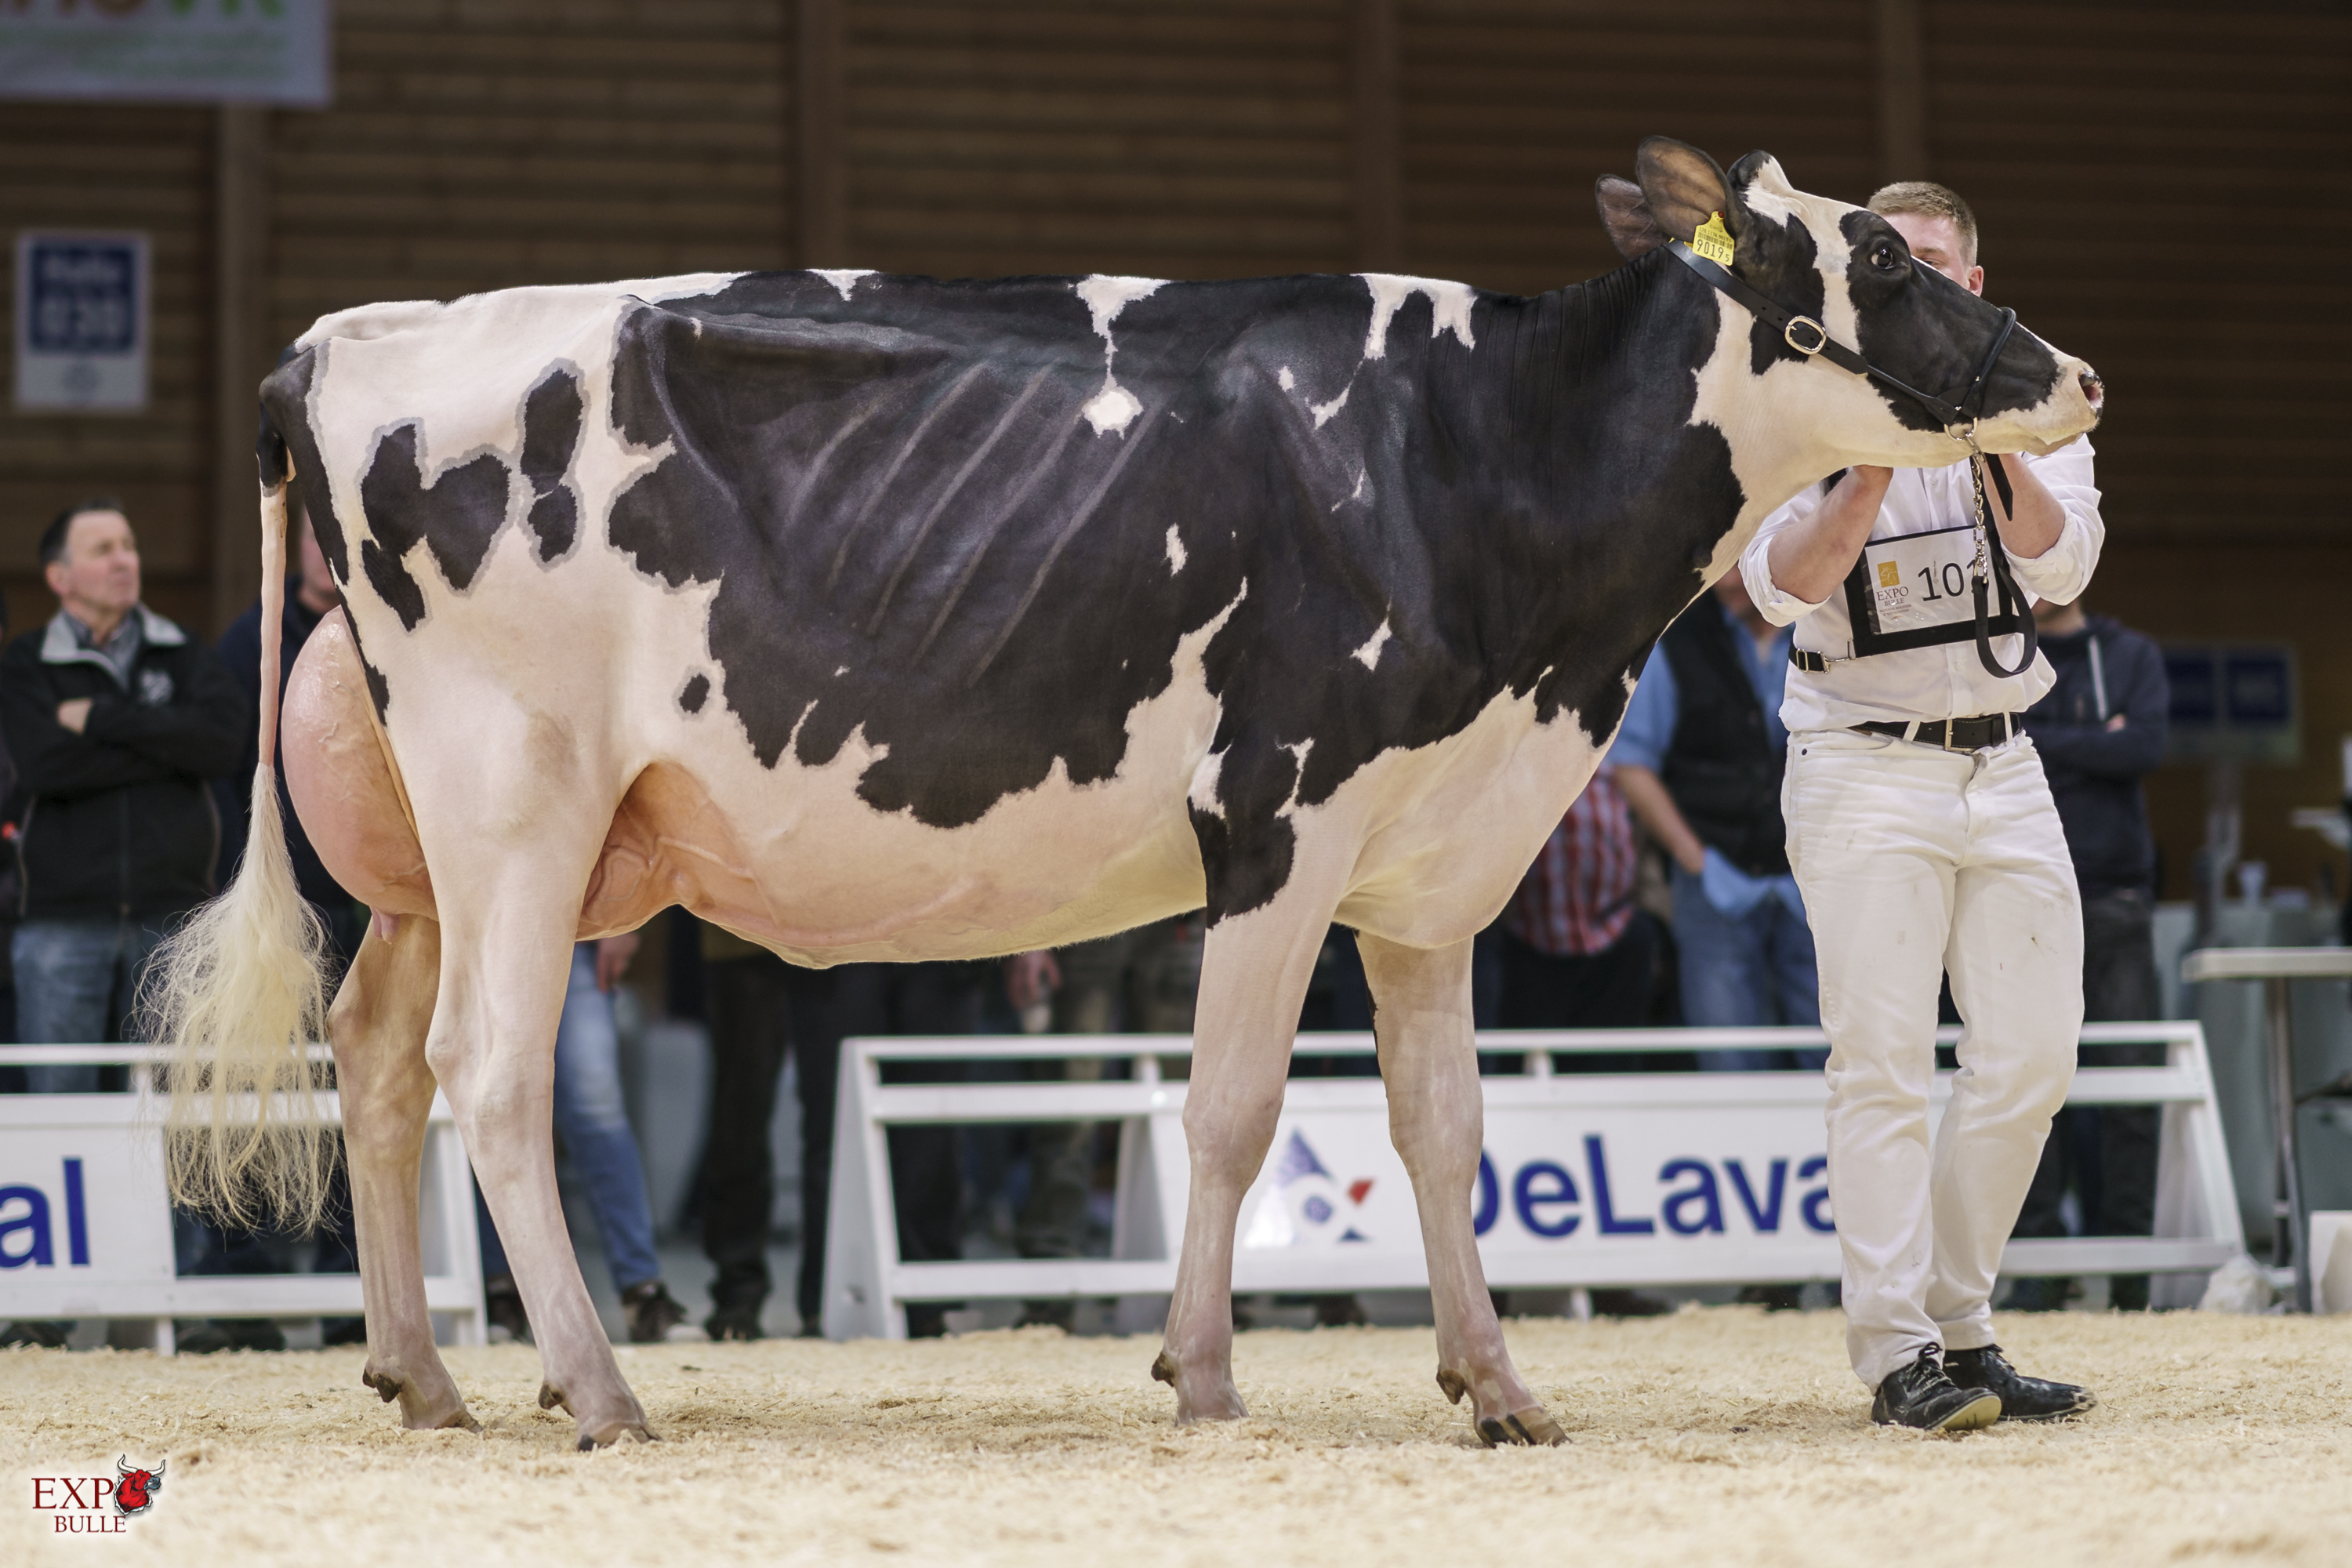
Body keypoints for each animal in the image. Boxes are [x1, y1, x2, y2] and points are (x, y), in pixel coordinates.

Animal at [153, 138, 2100, 1450]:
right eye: (1889, 260)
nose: (2073, 372)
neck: (1478, 466)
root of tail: (344, 340)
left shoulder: (1432, 859)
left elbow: (1445, 1133)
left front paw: (1499, 1386)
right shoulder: (1278, 823)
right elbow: (1231, 1112)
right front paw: (1207, 1373)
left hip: (433, 849)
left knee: (376, 1051)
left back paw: (426, 1376)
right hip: (519, 802)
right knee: (488, 1071)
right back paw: (598, 1388)